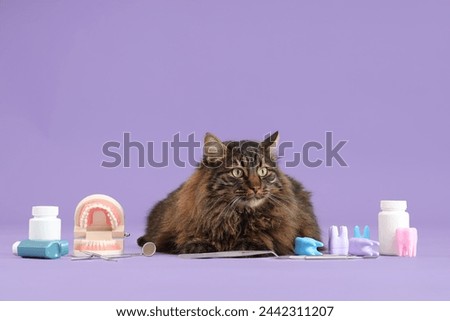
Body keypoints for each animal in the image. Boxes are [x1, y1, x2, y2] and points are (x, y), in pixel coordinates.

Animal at [137, 131, 320, 254]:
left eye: (262, 171)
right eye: (237, 172)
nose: (256, 187)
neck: (236, 216)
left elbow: (262, 238)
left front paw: (248, 243)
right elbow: (194, 239)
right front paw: (199, 245)